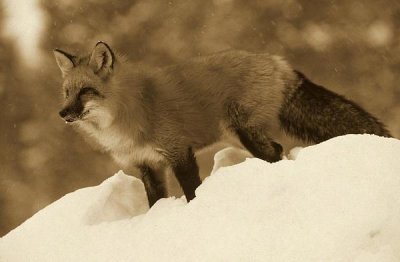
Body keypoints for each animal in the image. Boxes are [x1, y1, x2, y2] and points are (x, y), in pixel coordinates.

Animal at [53, 42, 390, 206]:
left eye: (86, 91)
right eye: (67, 92)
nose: (62, 113)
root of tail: (277, 61)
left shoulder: (178, 151)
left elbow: (191, 189)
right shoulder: (147, 165)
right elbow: (155, 201)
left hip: (244, 132)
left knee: (275, 150)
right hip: (238, 136)